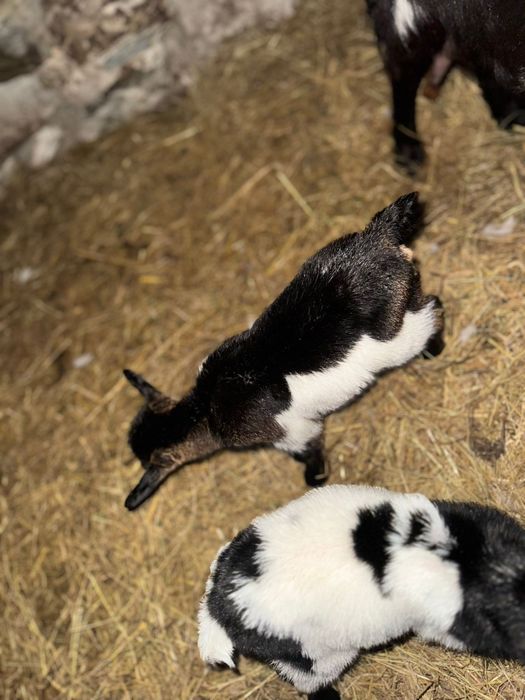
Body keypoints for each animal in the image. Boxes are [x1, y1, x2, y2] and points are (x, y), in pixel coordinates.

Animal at [123, 193, 444, 510]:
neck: (206, 405)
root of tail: (377, 235)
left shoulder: (292, 431)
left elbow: (307, 449)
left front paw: (315, 478)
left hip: (394, 338)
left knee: (433, 309)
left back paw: (434, 349)